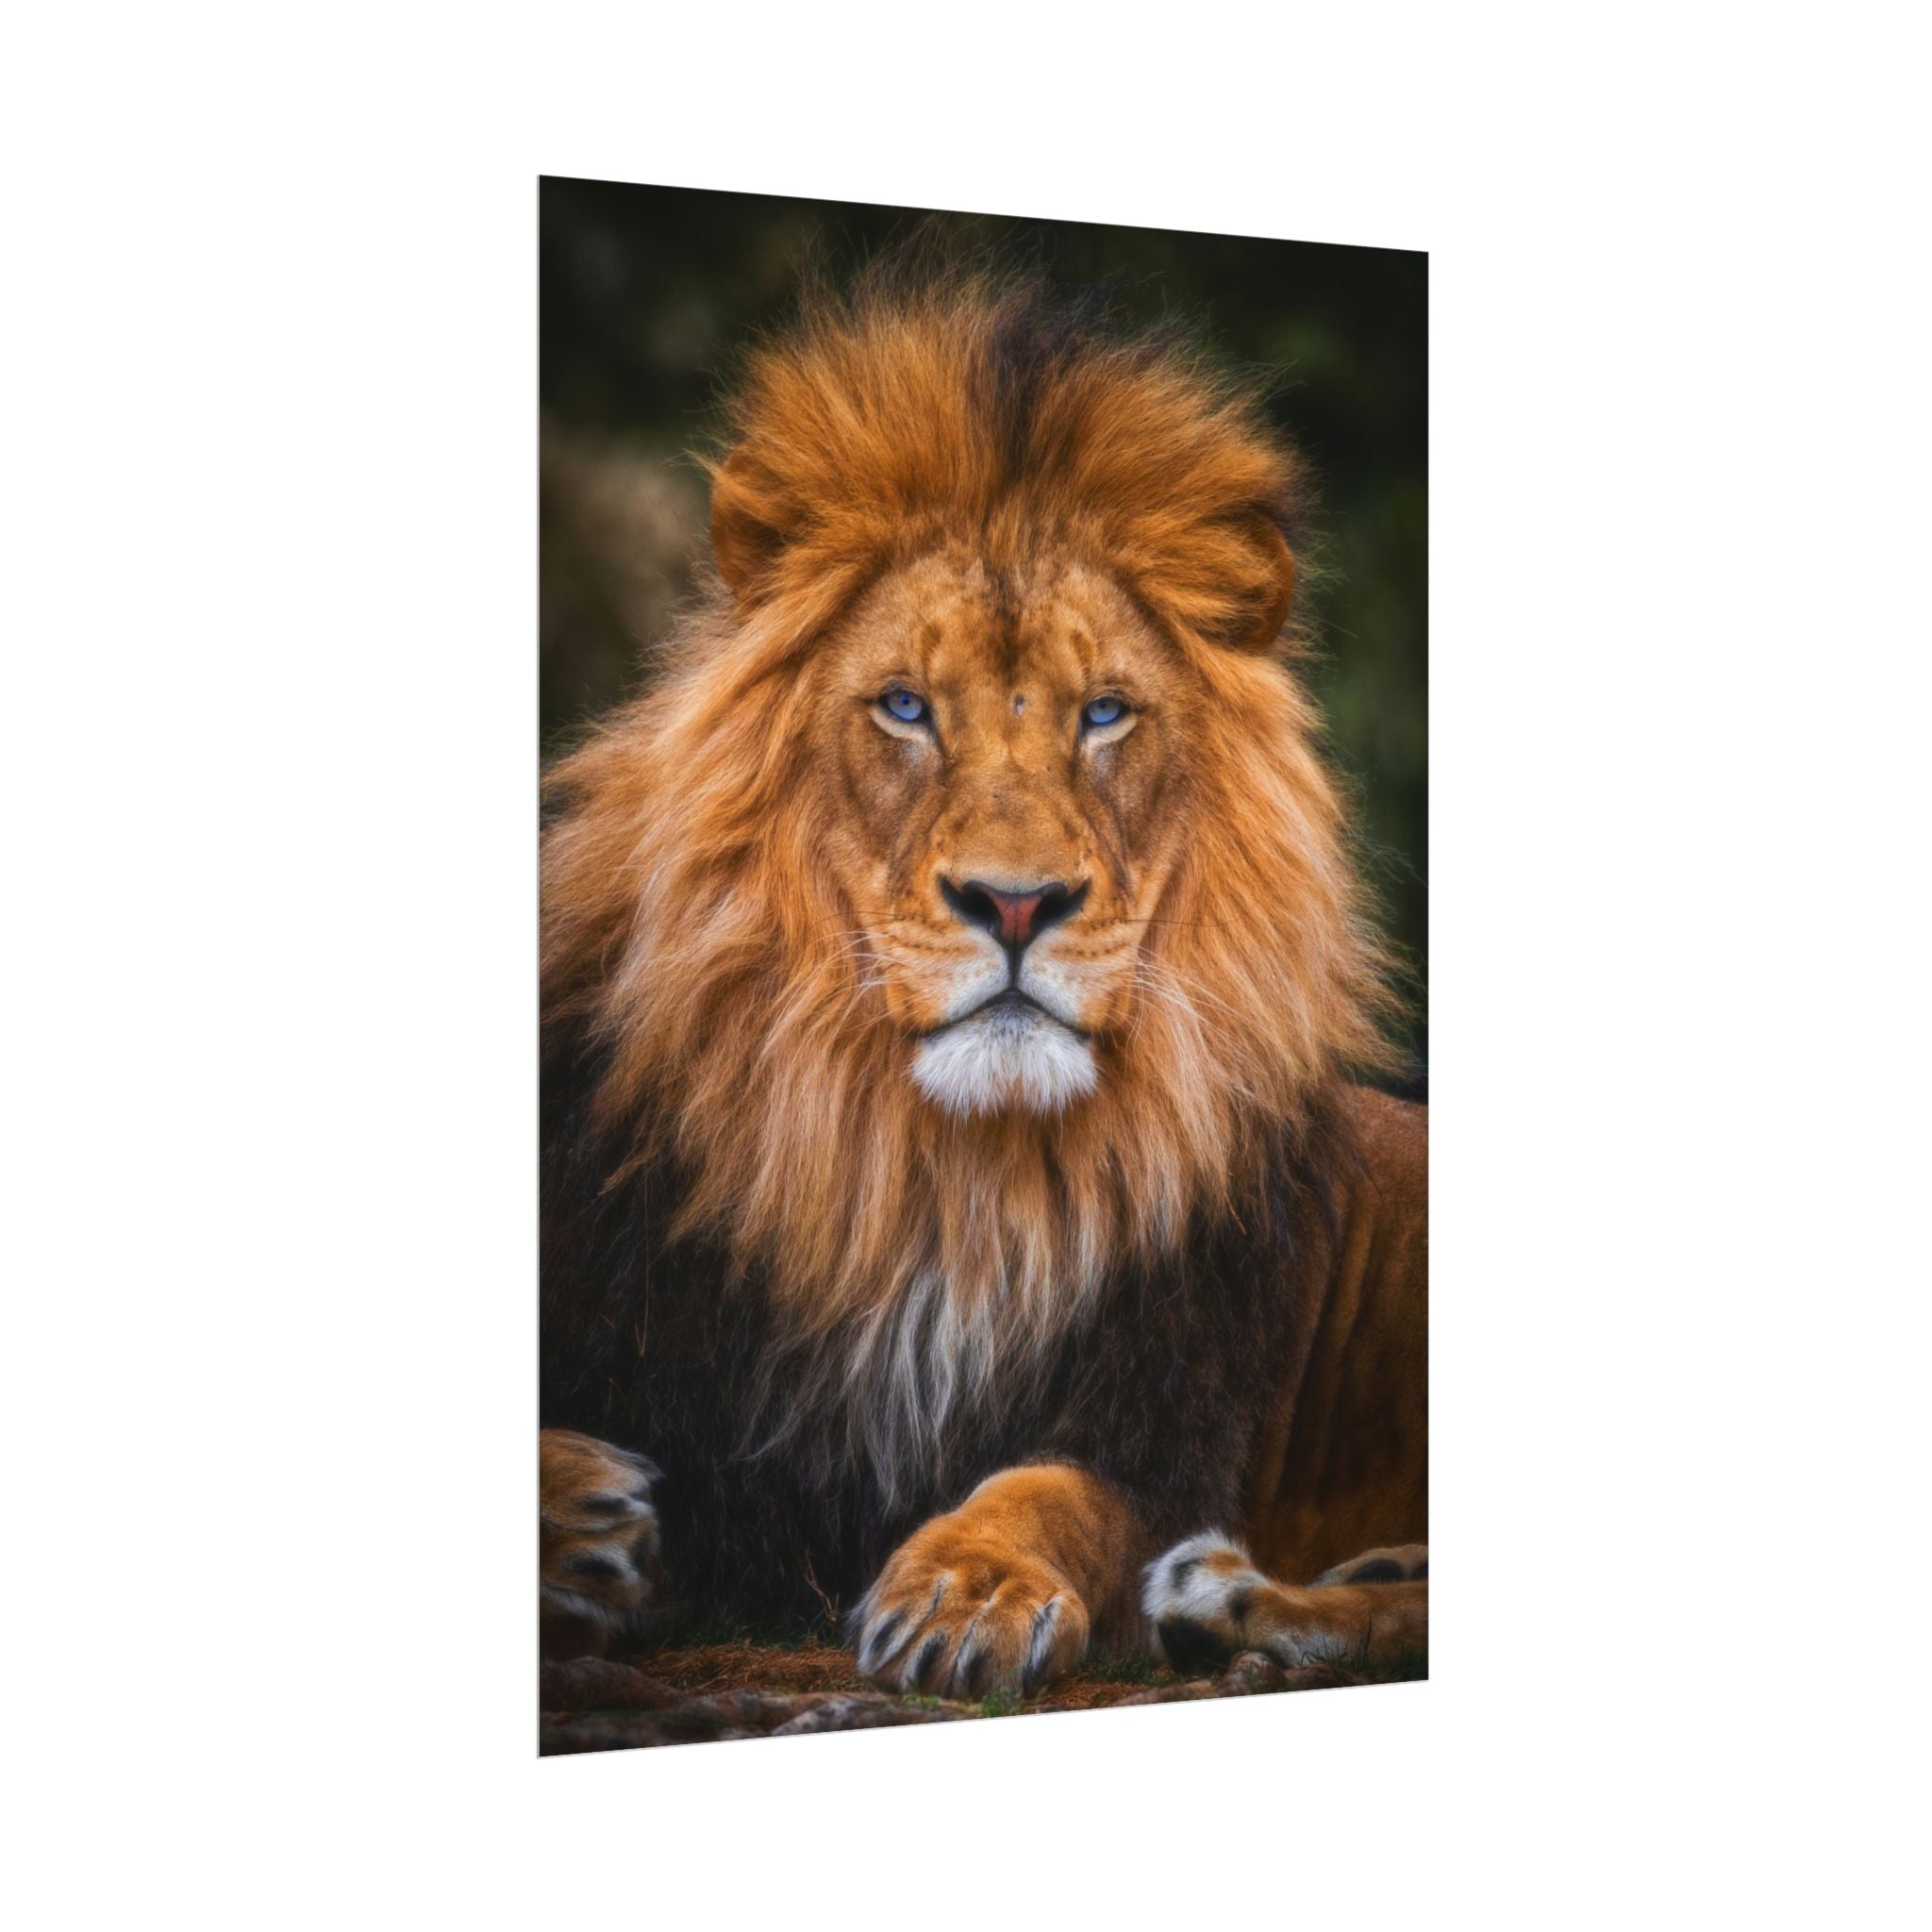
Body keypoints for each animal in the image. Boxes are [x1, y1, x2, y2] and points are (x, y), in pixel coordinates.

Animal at [538, 269, 1427, 1697]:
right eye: (905, 706)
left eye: (1104, 713)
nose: (1016, 903)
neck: (939, 1178)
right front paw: (581, 1516)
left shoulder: (1163, 1424)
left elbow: (1051, 1491)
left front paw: (967, 1587)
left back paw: (1240, 1601)